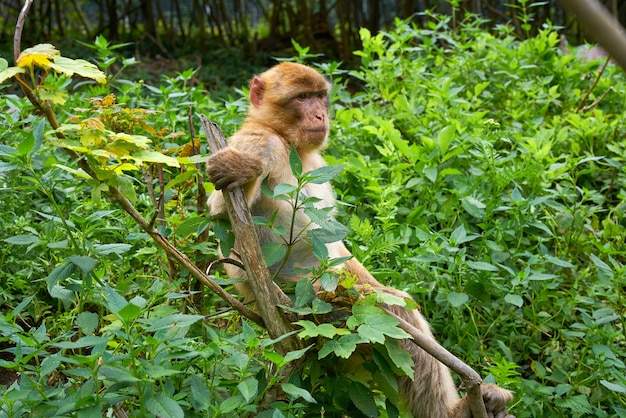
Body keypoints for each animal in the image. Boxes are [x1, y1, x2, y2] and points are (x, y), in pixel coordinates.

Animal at [205, 62, 512, 418]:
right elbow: (222, 214)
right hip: (312, 310)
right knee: (384, 313)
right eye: (302, 97)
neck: (288, 142)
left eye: (319, 96)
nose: (320, 115)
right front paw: (241, 171)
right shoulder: (260, 142)